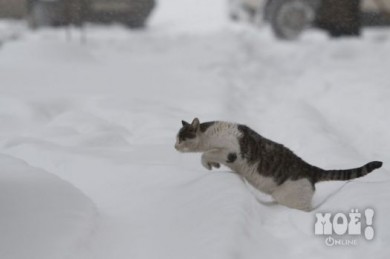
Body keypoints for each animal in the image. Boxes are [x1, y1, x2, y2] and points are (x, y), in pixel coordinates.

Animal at [175, 119, 382, 212]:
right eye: (176, 138)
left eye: (182, 138)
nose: (174, 146)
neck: (211, 134)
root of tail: (310, 169)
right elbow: (209, 155)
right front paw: (213, 166)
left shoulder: (230, 152)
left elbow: (205, 154)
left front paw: (208, 164)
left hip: (291, 198)